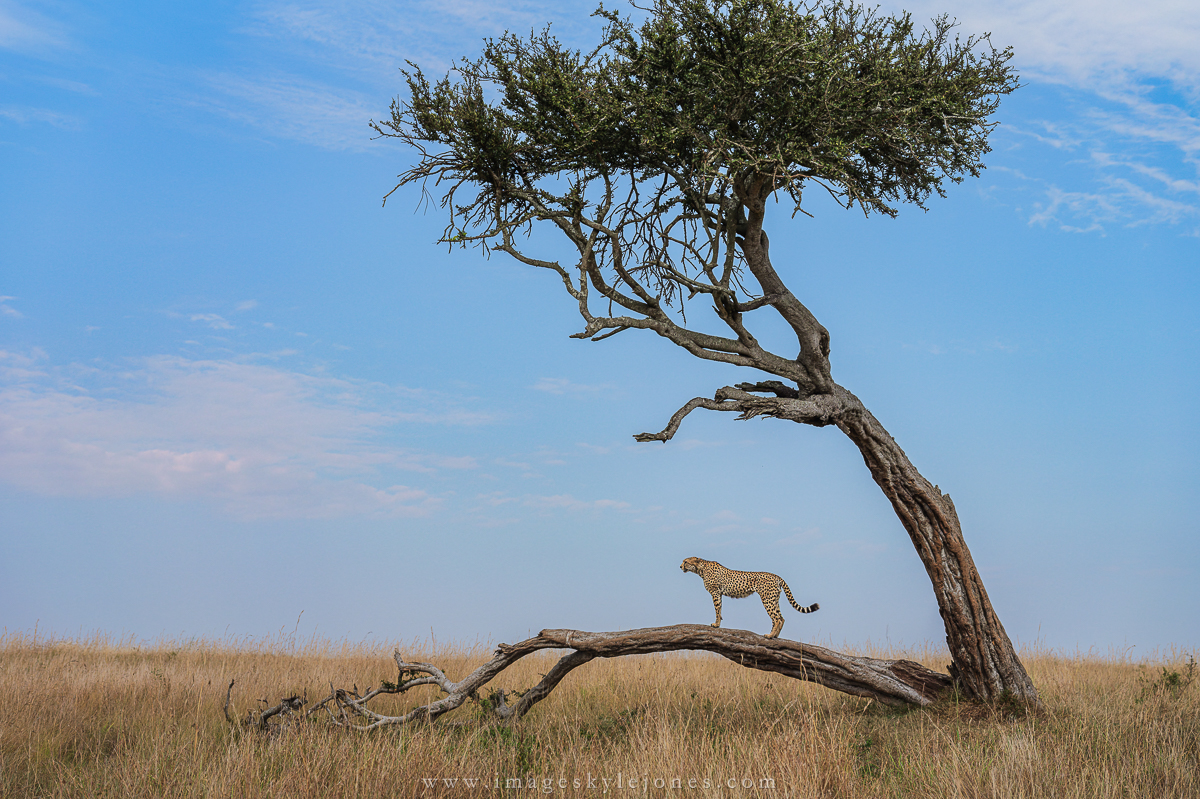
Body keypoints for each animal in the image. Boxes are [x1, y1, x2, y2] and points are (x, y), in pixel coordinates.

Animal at [680, 556, 819, 639]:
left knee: (776, 618)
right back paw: (775, 636)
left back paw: (770, 635)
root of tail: (776, 576)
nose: (680, 566)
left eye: (686, 561)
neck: (701, 569)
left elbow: (717, 609)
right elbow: (720, 609)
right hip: (773, 599)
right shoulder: (719, 593)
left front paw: (716, 624)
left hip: (767, 600)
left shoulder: (715, 592)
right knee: (781, 617)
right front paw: (718, 623)